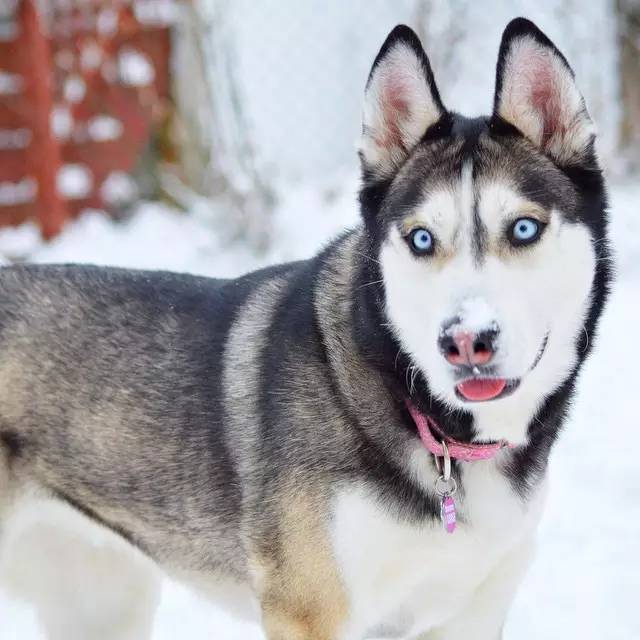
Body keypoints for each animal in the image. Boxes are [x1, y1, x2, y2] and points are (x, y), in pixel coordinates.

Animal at [0, 17, 608, 636]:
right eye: (421, 238)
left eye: (525, 228)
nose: (465, 341)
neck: (428, 422)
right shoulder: (309, 612)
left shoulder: (475, 613)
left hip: (103, 599)